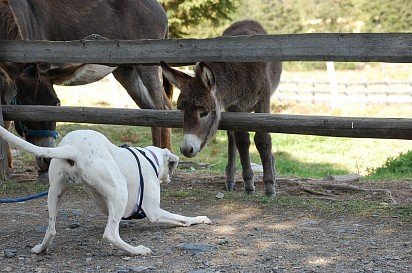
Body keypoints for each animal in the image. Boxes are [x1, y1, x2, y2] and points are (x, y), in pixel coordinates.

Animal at [0, 126, 212, 254]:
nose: (169, 180)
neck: (149, 158)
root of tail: (74, 149)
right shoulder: (154, 211)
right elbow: (182, 217)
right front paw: (199, 219)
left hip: (55, 192)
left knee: (51, 230)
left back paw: (40, 249)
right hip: (119, 190)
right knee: (110, 233)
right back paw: (137, 250)